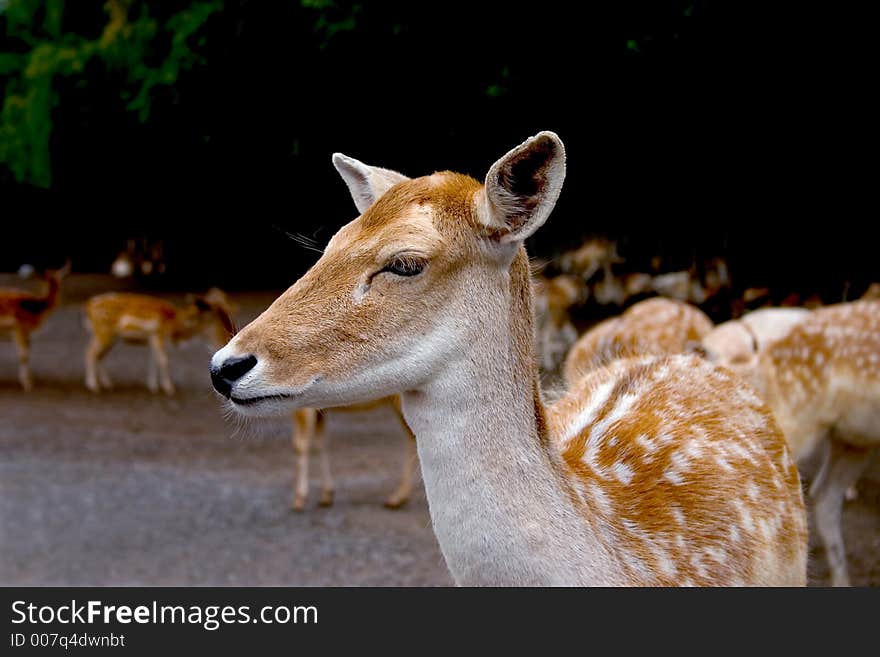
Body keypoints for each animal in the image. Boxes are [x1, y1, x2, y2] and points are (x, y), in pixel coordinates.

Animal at [0, 260, 69, 390]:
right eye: (48, 278)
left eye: (59, 277)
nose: (58, 288)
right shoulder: (19, 329)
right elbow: (23, 355)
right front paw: (27, 384)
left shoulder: (26, 333)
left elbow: (27, 352)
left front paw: (30, 379)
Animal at [84, 288, 235, 394]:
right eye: (218, 315)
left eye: (226, 311)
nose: (228, 334)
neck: (174, 326)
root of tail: (88, 306)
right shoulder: (157, 335)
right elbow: (163, 360)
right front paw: (169, 388)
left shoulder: (152, 338)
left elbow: (154, 359)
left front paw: (153, 386)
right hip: (103, 333)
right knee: (90, 353)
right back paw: (93, 385)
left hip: (110, 337)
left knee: (99, 355)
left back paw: (107, 384)